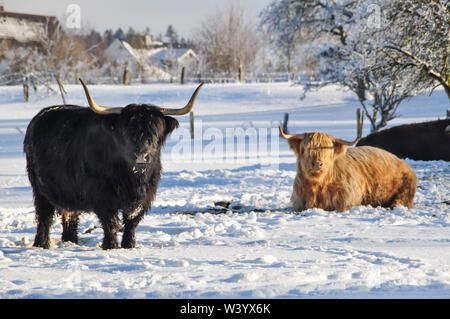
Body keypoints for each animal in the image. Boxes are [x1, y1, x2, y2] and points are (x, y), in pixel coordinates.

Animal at [24, 80, 204, 250]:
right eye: (126, 131)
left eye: (156, 131)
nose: (141, 156)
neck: (133, 179)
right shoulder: (102, 196)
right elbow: (110, 223)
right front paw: (111, 246)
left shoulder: (145, 197)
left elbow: (131, 223)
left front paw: (129, 245)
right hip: (40, 190)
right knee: (45, 218)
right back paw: (41, 244)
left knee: (70, 219)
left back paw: (71, 242)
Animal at [282, 125, 418, 212]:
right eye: (306, 148)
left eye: (328, 149)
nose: (317, 163)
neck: (319, 185)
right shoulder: (298, 202)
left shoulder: (347, 200)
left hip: (406, 188)